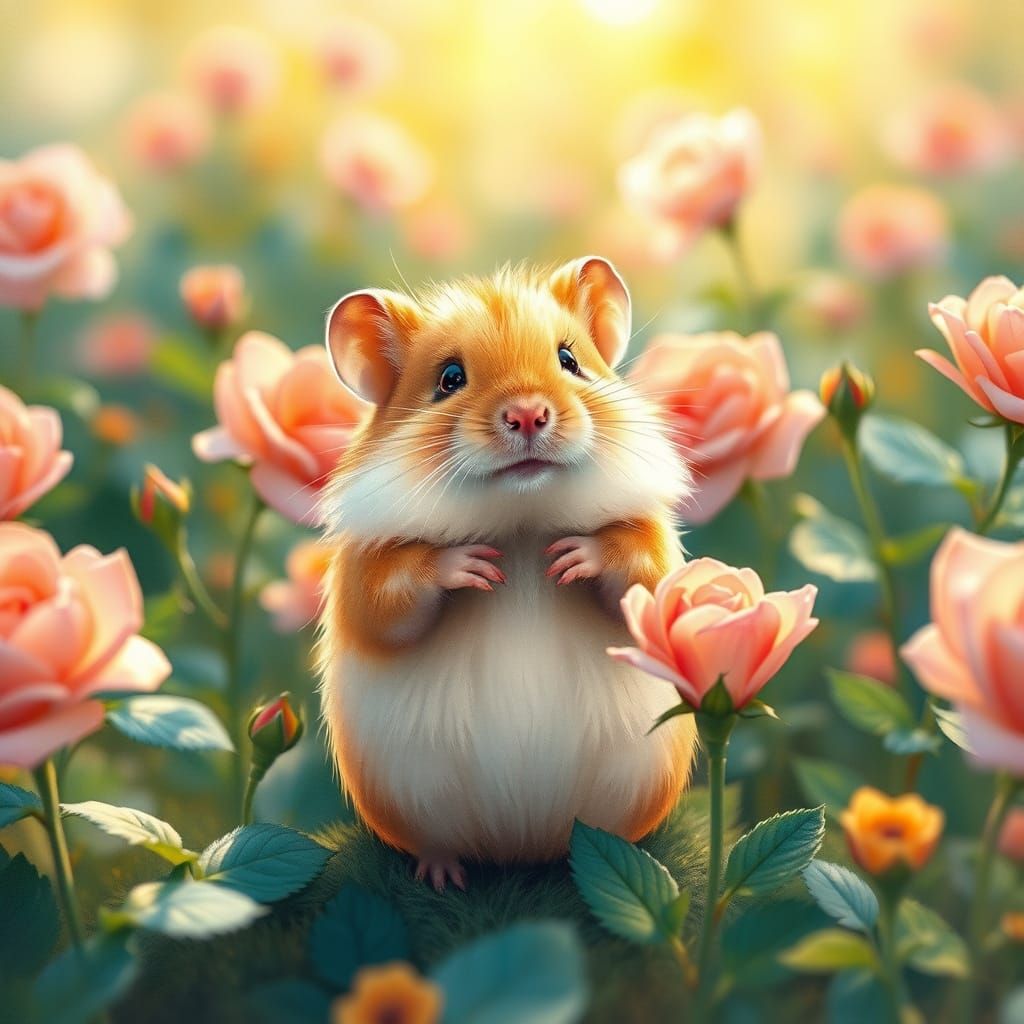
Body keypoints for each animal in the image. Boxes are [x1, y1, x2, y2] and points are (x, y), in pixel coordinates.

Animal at [317, 256, 697, 891]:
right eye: (450, 378)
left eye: (569, 360)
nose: (527, 414)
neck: (520, 521)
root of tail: (519, 852)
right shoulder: (364, 570)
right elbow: (391, 600)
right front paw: (472, 567)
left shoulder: (653, 541)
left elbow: (640, 571)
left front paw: (570, 559)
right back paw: (443, 876)